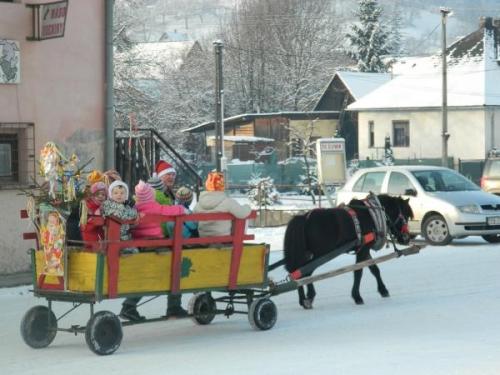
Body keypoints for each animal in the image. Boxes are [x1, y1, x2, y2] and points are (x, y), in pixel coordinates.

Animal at [282, 194, 414, 308]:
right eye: (405, 215)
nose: (406, 238)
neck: (371, 215)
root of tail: (304, 218)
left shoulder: (364, 249)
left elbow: (374, 269)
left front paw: (383, 290)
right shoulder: (363, 250)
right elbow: (358, 271)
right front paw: (357, 296)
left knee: (296, 273)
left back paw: (302, 299)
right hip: (318, 254)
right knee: (305, 273)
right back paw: (309, 297)